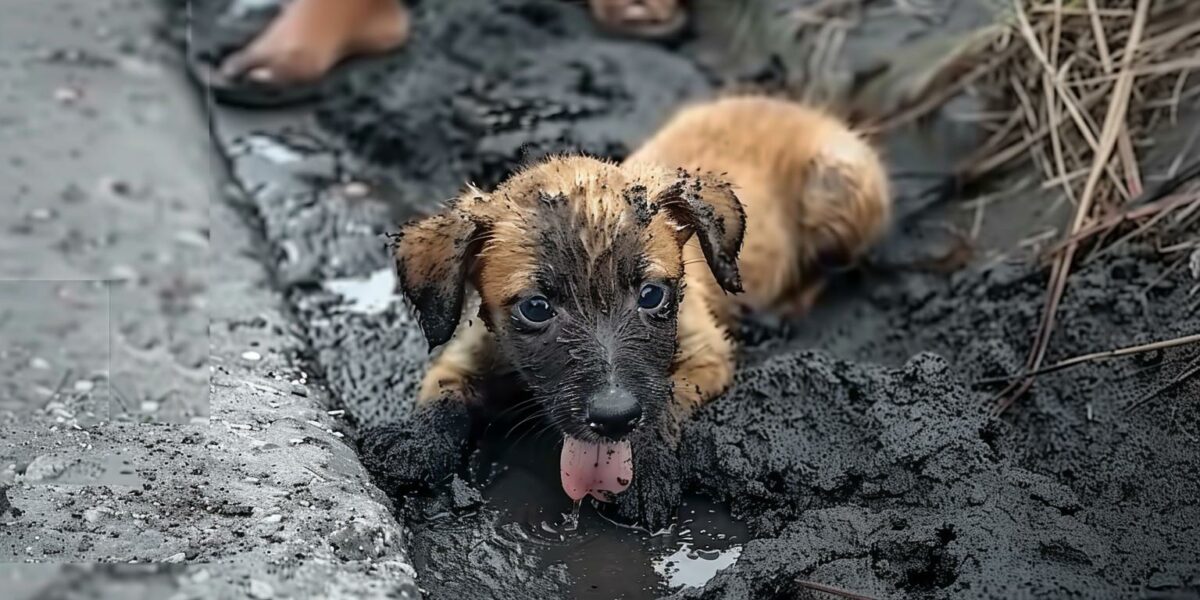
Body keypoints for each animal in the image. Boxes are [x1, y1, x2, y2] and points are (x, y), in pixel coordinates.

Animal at [384, 96, 892, 528]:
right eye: (535, 307)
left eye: (650, 295)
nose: (613, 417)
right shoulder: (467, 352)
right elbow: (443, 397)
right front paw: (414, 443)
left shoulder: (706, 354)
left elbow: (665, 399)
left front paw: (644, 472)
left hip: (837, 189)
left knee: (838, 267)